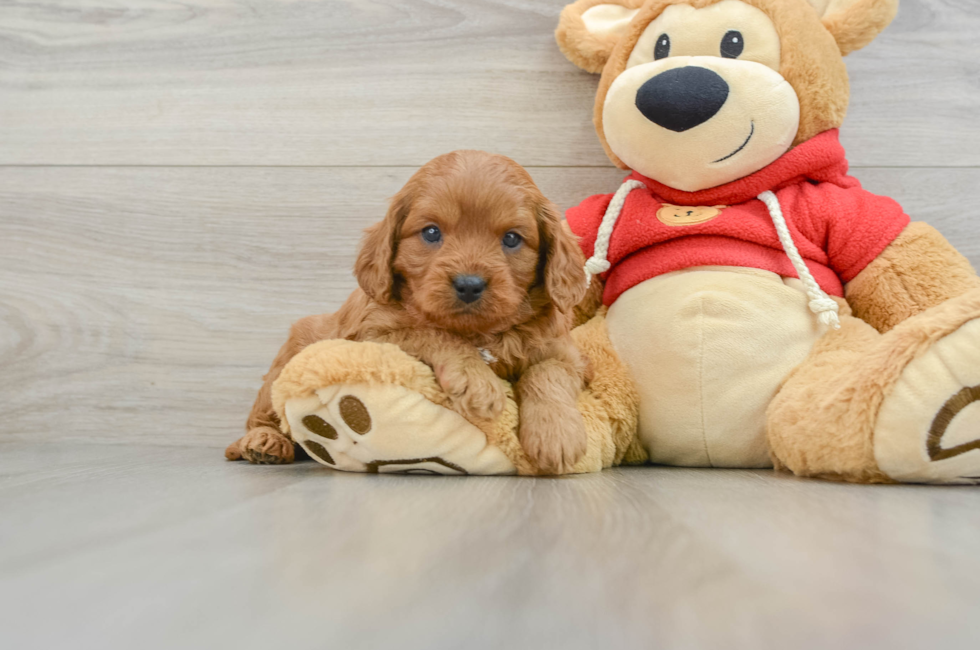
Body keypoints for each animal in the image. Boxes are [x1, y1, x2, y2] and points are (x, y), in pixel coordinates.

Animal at [230, 150, 588, 474]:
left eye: (512, 238)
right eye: (431, 232)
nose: (469, 284)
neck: (478, 331)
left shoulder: (567, 354)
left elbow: (548, 373)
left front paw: (556, 435)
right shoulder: (373, 335)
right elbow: (431, 332)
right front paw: (477, 381)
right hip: (288, 357)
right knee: (264, 414)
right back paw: (264, 443)